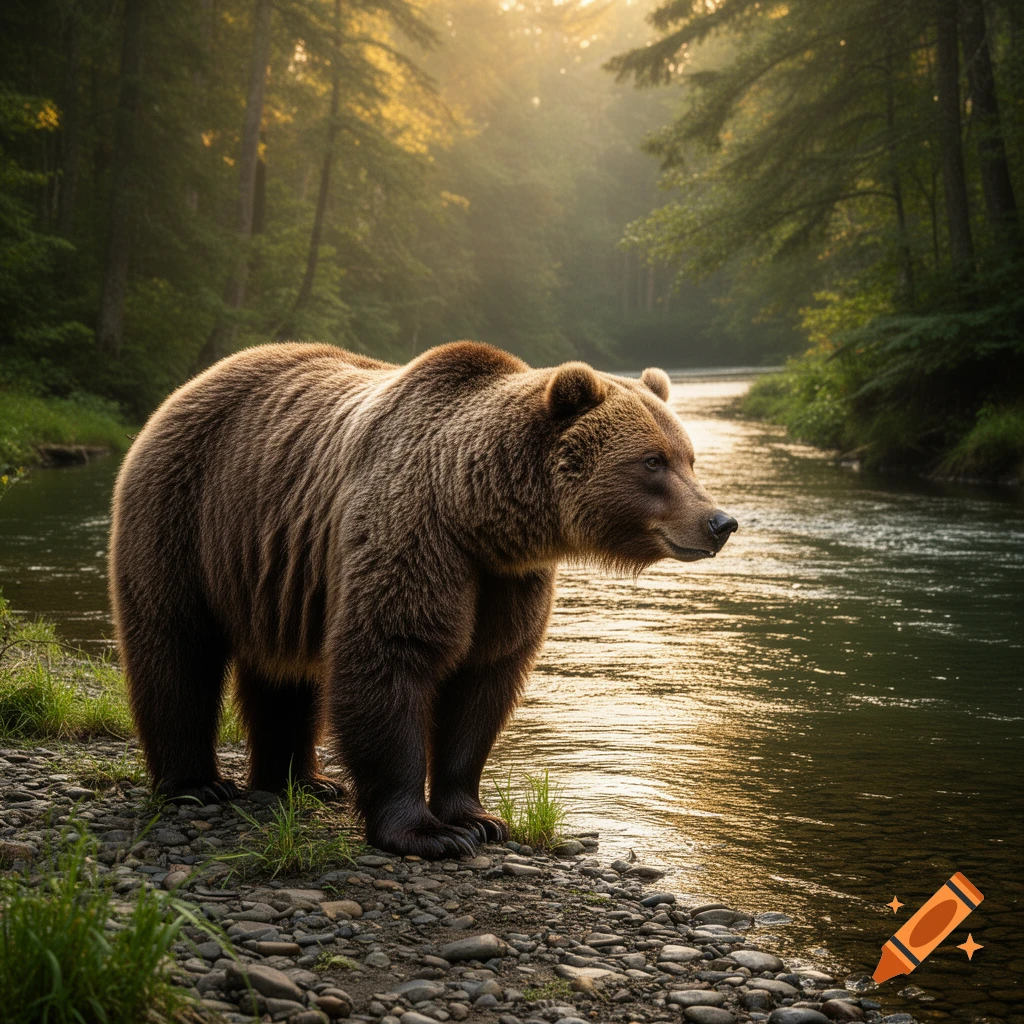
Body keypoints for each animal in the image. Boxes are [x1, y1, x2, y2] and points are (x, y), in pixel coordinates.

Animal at [109, 341, 737, 857]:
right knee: (176, 648)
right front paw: (426, 833)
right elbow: (390, 659)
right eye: (652, 461)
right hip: (185, 518)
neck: (476, 514)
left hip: (275, 577)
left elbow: (483, 685)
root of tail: (188, 386)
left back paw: (303, 781)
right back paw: (196, 784)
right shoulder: (415, 537)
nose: (720, 522)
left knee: (284, 676)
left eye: (689, 457)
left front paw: (478, 818)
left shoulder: (505, 582)